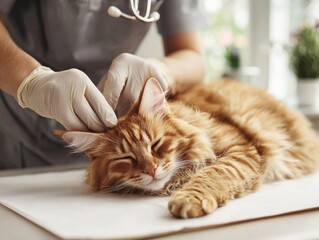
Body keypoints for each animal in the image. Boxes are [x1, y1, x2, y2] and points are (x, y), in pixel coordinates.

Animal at [59, 78, 319, 218]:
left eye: (156, 144)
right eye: (125, 158)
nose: (151, 170)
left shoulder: (240, 149)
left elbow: (213, 174)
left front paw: (188, 200)